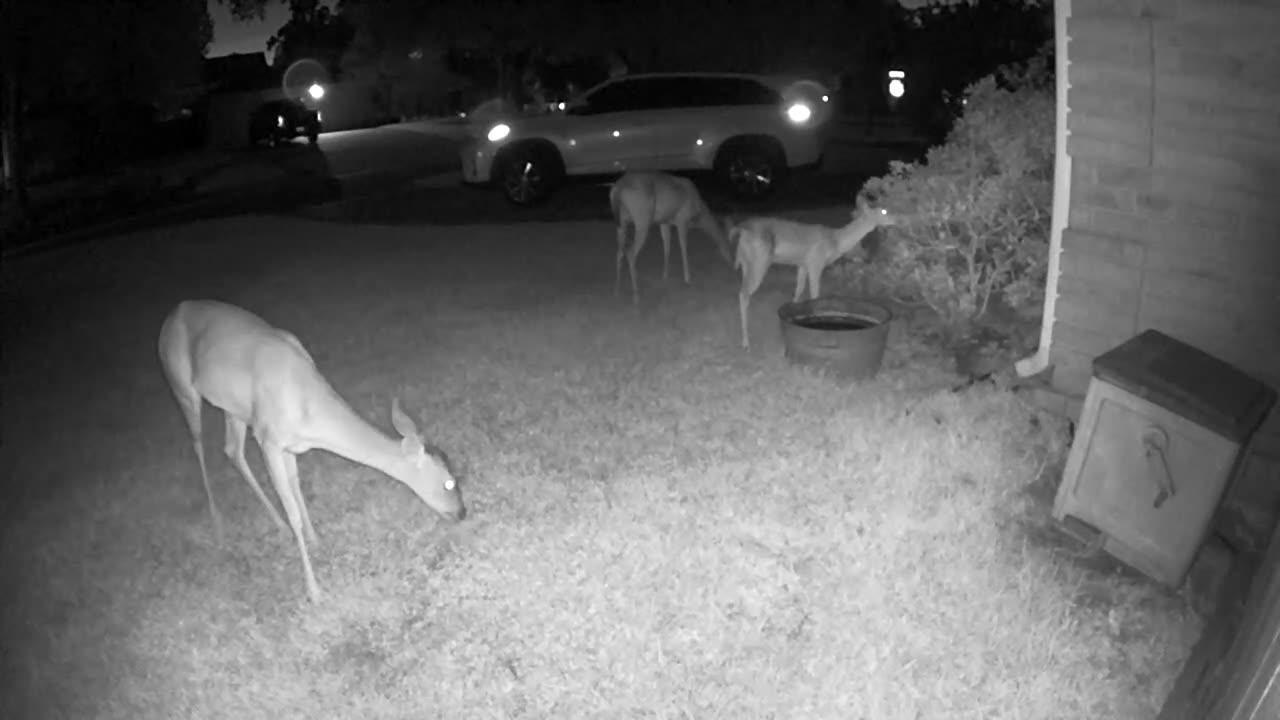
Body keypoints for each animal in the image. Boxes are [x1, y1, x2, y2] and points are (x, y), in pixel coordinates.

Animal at [155, 297, 465, 599]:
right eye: (449, 483)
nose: (462, 513)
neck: (307, 408)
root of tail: (172, 315)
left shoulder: (291, 445)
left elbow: (296, 487)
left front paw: (316, 539)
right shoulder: (268, 438)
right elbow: (292, 508)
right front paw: (313, 590)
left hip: (234, 407)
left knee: (232, 450)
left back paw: (276, 523)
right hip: (180, 384)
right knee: (198, 443)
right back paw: (217, 519)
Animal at [609, 169, 732, 302]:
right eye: (731, 246)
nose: (732, 264)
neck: (698, 215)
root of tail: (617, 189)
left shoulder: (665, 222)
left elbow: (667, 246)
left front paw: (665, 276)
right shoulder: (682, 219)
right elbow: (683, 247)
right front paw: (687, 279)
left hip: (621, 222)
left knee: (619, 252)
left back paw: (616, 291)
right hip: (642, 218)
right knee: (630, 252)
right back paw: (636, 296)